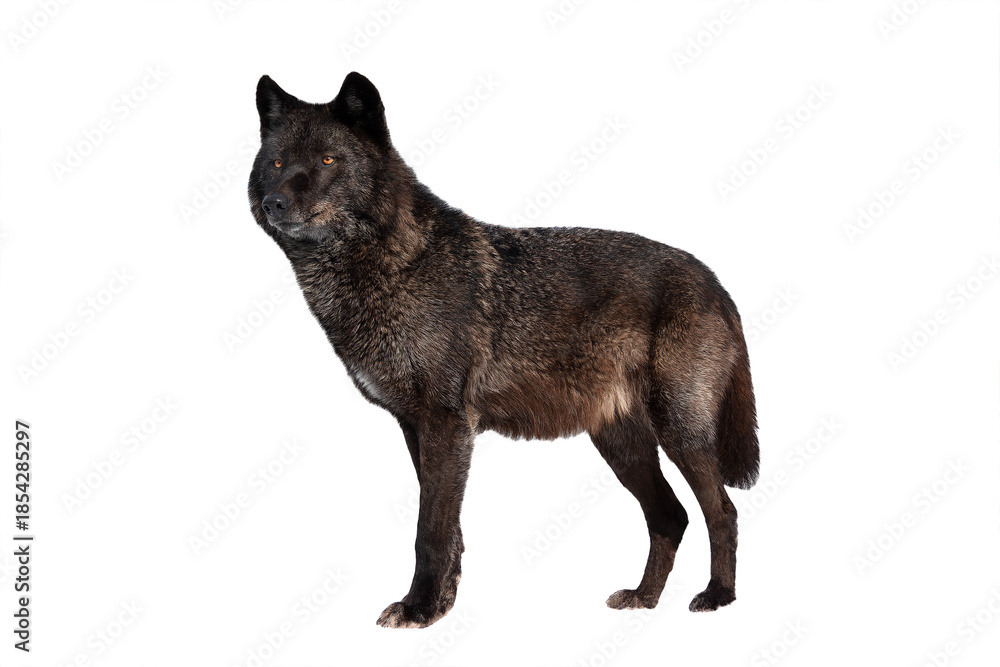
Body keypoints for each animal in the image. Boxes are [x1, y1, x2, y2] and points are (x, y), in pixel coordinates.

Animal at [247, 72, 760, 629]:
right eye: (277, 163)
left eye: (326, 160)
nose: (274, 202)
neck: (389, 263)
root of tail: (714, 279)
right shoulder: (416, 427)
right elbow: (450, 533)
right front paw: (441, 605)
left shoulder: (446, 423)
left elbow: (430, 532)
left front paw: (418, 608)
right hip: (622, 446)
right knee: (671, 516)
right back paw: (644, 597)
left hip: (680, 432)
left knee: (721, 512)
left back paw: (718, 596)